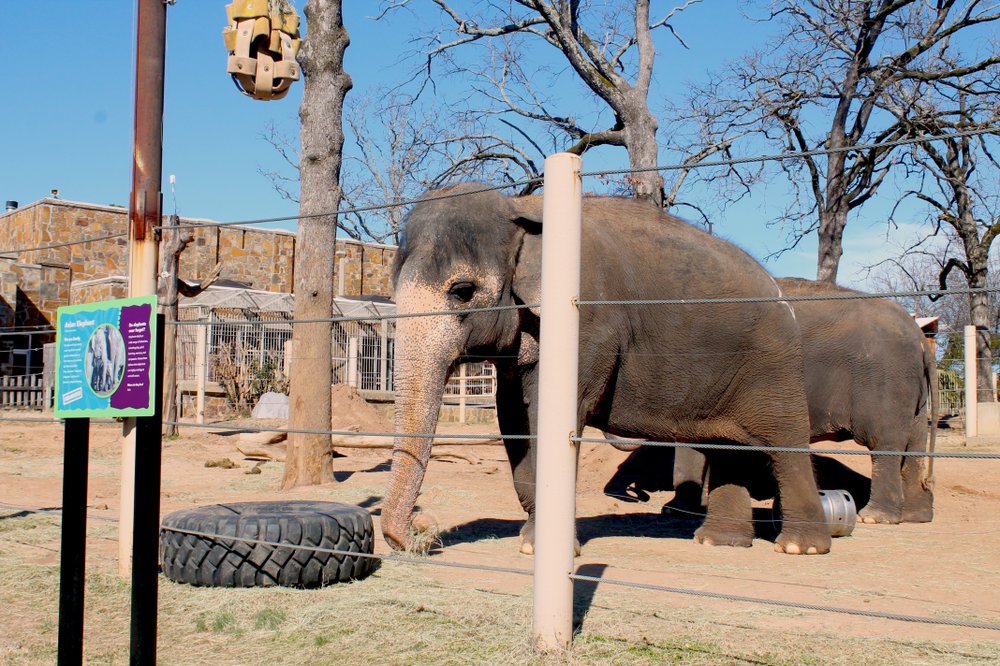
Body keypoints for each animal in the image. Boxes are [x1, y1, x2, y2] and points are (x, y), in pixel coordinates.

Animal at [378, 184, 832, 552]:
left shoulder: (588, 323)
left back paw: (800, 547)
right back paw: (717, 542)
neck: (524, 207)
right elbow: (514, 418)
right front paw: (531, 541)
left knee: (784, 443)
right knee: (729, 448)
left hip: (774, 366)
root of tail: (781, 293)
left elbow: (549, 415)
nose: (421, 530)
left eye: (462, 291)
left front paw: (536, 548)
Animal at [664, 276, 936, 524]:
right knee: (915, 443)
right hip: (914, 392)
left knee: (884, 443)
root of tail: (919, 335)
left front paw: (675, 510)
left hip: (886, 382)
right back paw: (916, 516)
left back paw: (874, 517)